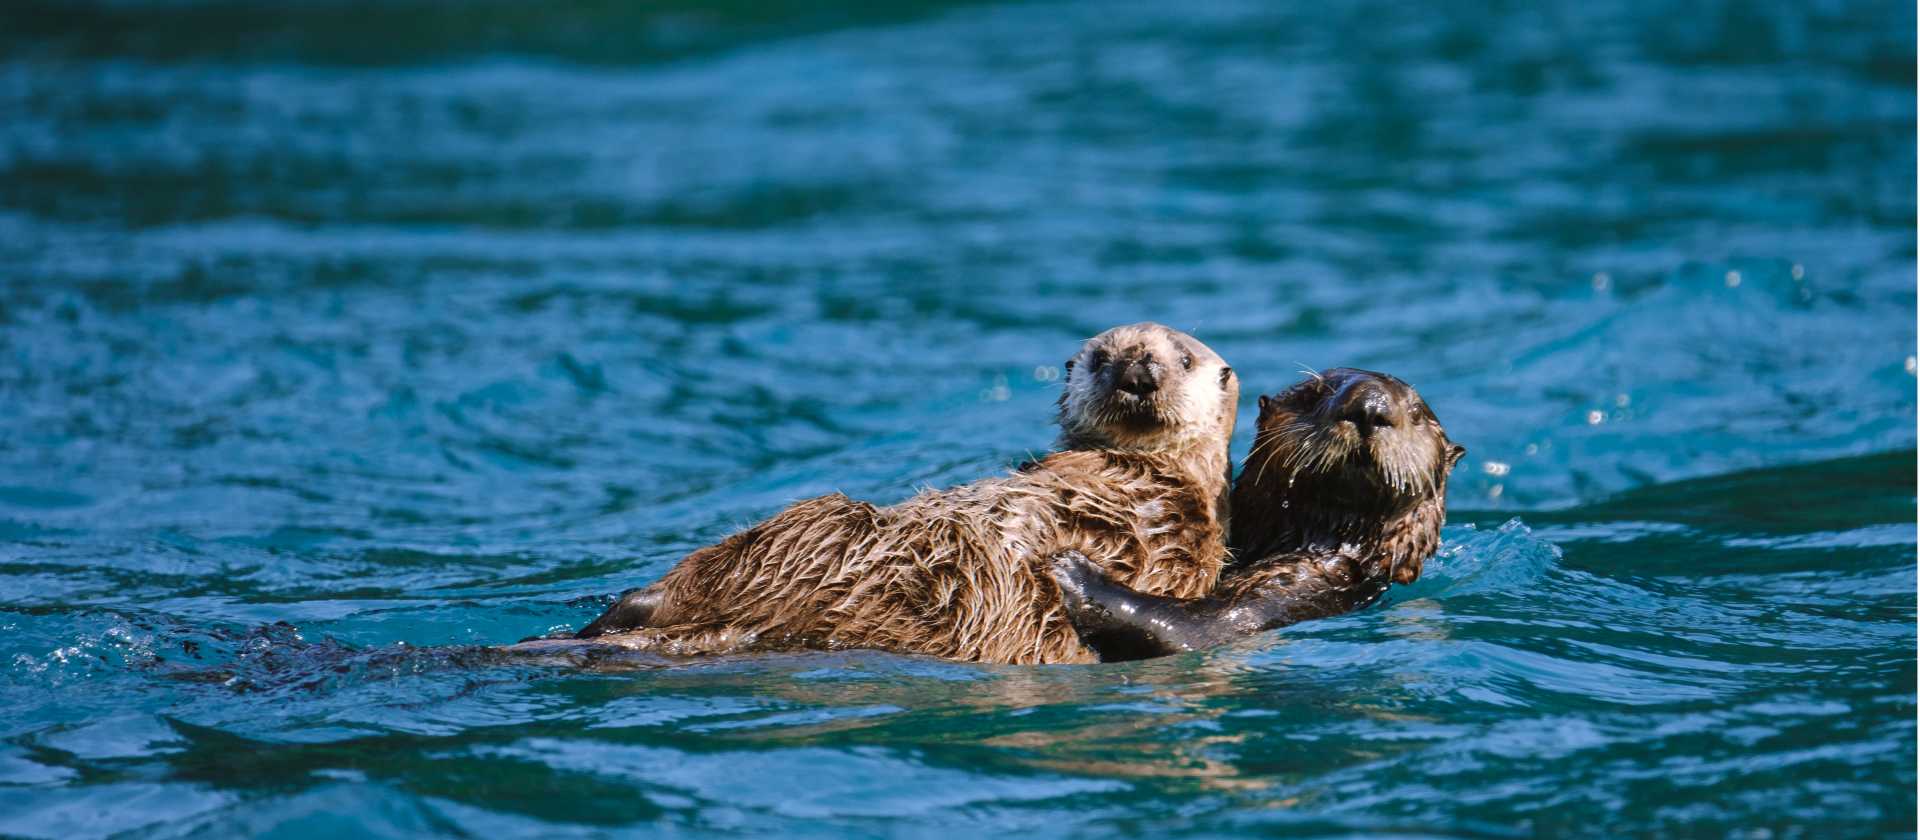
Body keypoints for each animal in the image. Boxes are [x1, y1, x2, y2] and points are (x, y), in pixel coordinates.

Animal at [1048, 368, 1463, 661]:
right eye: (1314, 393)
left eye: (1416, 412)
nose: (1369, 406)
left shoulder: (1298, 590)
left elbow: (1185, 629)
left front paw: (1074, 571)